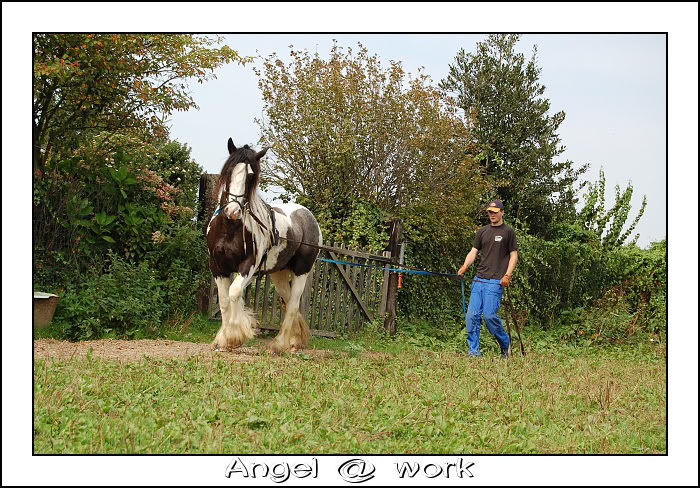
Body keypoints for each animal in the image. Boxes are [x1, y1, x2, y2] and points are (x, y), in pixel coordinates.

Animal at [204, 139, 322, 352]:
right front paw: (223, 339)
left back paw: (279, 344)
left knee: (293, 304)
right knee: (288, 301)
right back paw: (295, 339)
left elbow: (234, 293)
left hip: (302, 271)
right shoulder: (217, 266)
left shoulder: (248, 265)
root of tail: (308, 216)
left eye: (251, 176)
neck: (230, 227)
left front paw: (234, 336)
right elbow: (224, 301)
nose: (233, 210)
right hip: (279, 273)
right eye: (230, 170)